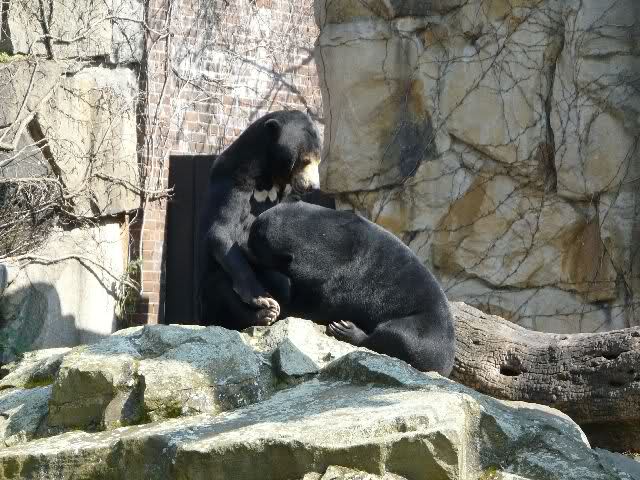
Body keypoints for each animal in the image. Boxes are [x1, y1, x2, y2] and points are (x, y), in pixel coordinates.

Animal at [196, 110, 321, 329]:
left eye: (318, 160)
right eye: (305, 160)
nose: (313, 186)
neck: (268, 177)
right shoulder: (234, 180)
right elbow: (221, 233)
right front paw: (262, 299)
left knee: (282, 282)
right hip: (208, 299)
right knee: (220, 284)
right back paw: (264, 314)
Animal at [247, 201, 456, 376]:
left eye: (255, 244)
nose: (247, 246)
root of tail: (447, 363)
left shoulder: (329, 275)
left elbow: (317, 301)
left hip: (424, 330)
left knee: (397, 337)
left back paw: (346, 329)